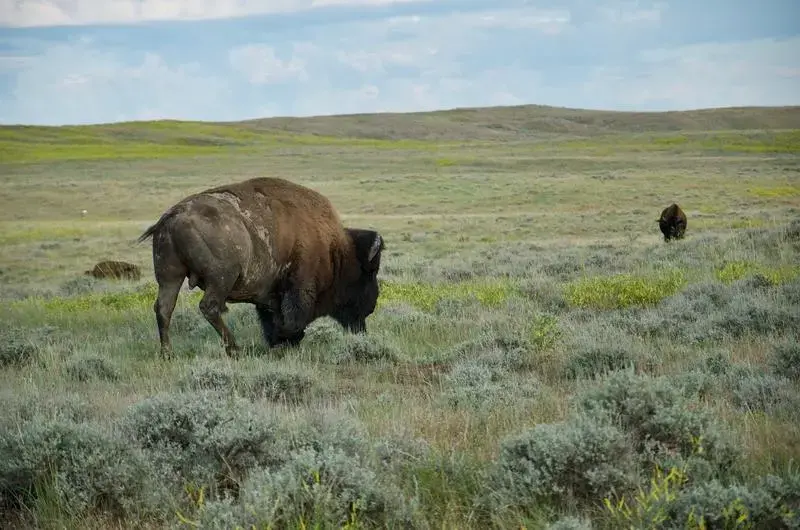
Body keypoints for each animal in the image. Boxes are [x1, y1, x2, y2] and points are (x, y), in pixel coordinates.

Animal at [137, 177, 385, 358]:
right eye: (370, 272)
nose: (371, 307)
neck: (336, 251)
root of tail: (171, 216)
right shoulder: (298, 287)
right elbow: (291, 318)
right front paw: (287, 340)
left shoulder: (269, 297)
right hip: (221, 278)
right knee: (209, 307)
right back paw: (235, 349)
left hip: (170, 276)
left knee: (164, 308)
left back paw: (167, 354)